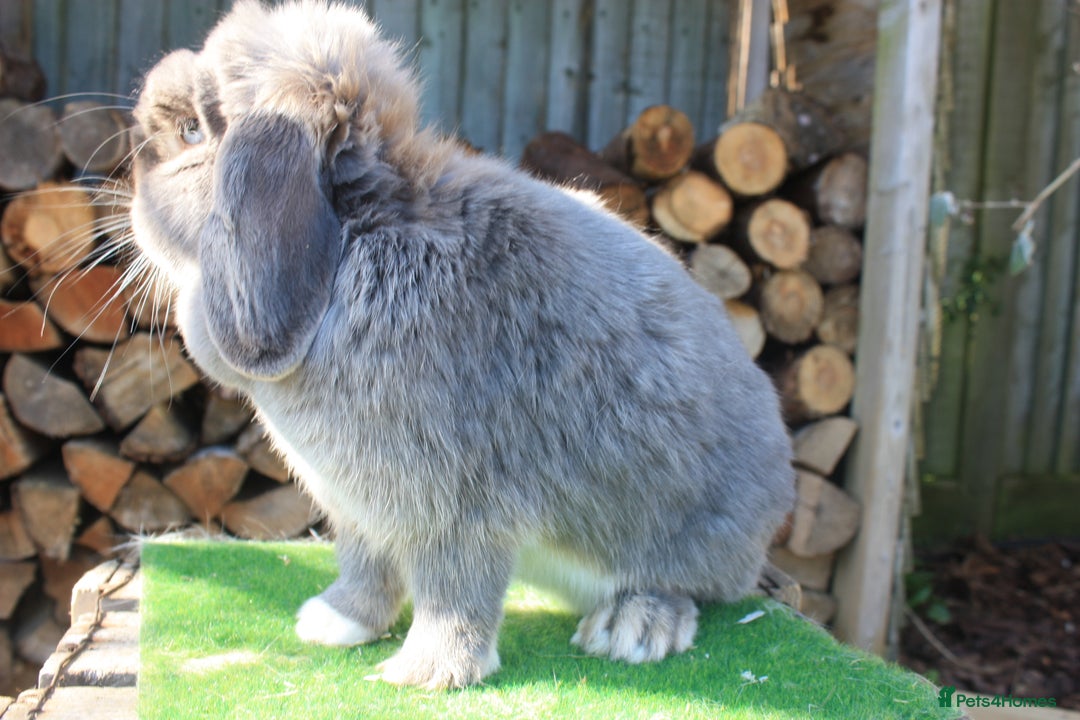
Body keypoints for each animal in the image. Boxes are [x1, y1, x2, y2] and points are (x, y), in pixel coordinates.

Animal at [128, 0, 795, 690]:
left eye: (190, 132)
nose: (129, 198)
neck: (360, 244)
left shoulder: (456, 507)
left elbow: (454, 591)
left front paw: (425, 673)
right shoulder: (361, 512)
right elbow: (365, 569)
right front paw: (333, 624)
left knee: (689, 588)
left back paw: (631, 629)